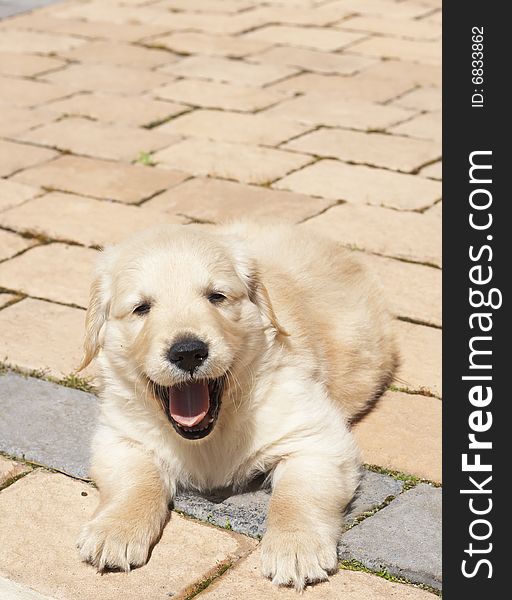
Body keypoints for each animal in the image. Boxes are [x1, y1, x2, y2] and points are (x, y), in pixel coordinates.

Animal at [76, 221, 398, 592]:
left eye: (216, 297)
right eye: (141, 308)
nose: (188, 352)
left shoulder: (316, 439)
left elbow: (298, 496)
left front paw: (295, 547)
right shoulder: (121, 437)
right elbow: (135, 482)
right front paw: (114, 529)